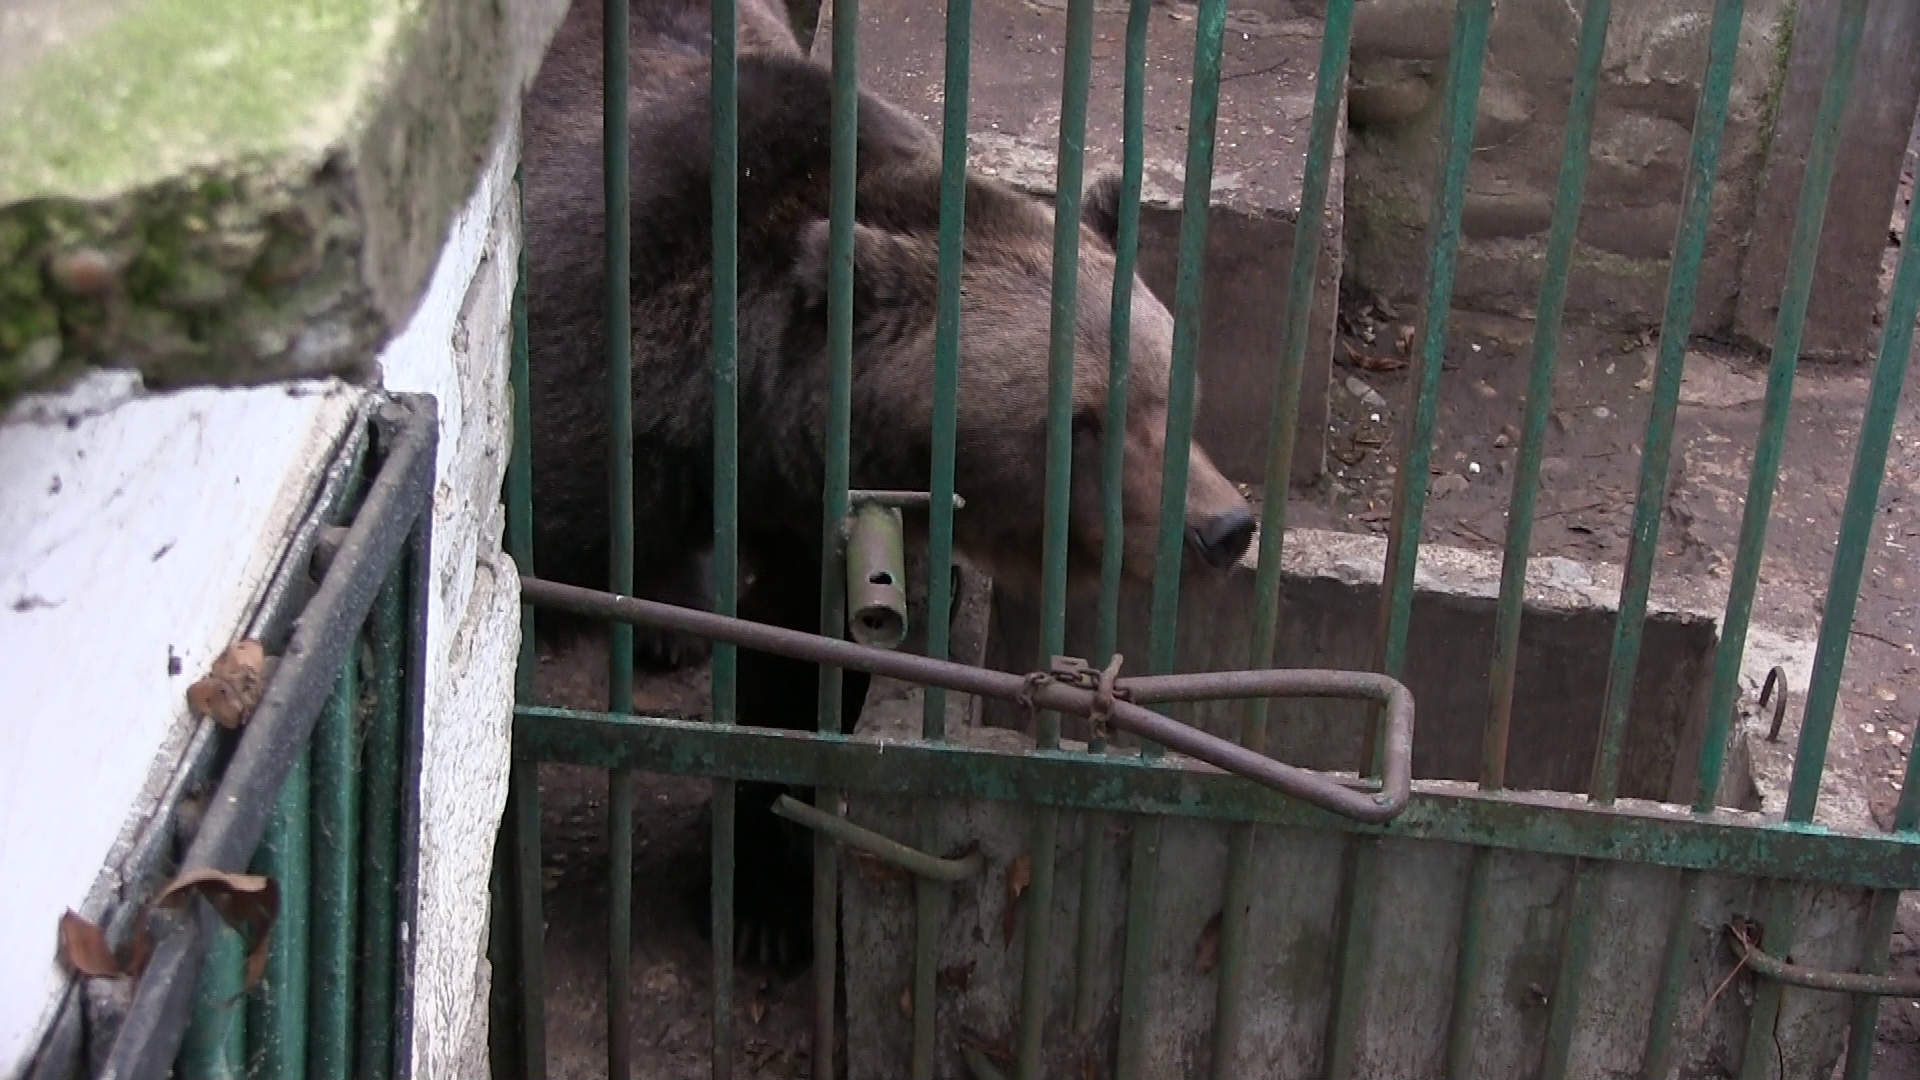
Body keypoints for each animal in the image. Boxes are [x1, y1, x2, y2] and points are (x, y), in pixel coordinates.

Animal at [522, 0, 1259, 968]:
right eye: (1083, 419)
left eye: (1174, 388)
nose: (1223, 527)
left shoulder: (816, 522)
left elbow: (796, 675)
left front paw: (767, 900)